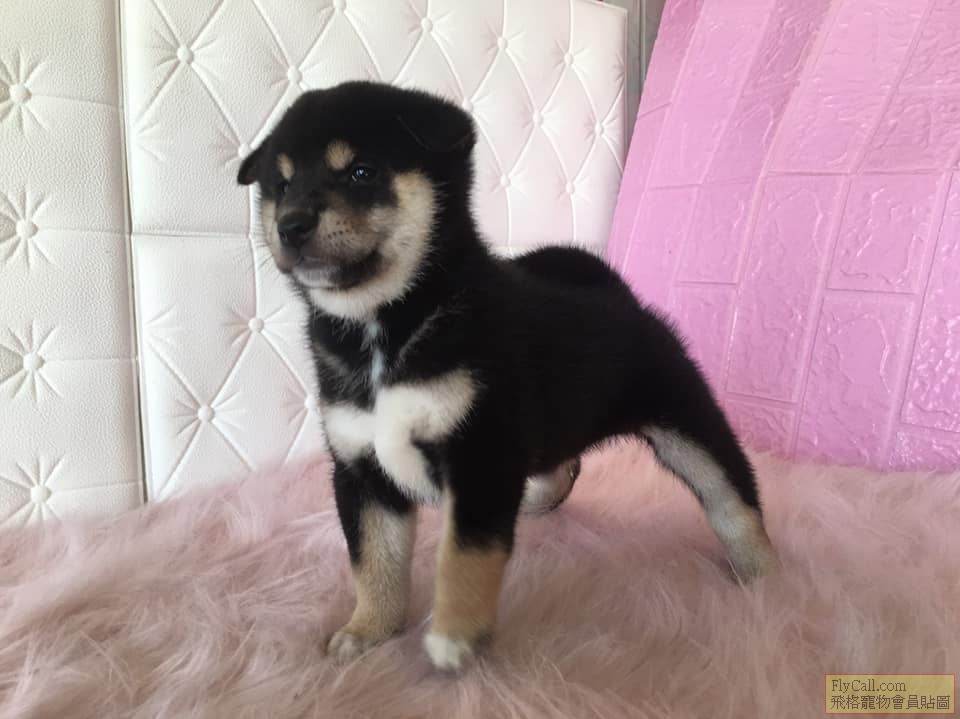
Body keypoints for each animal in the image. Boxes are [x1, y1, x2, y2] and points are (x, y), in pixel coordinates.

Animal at [236, 81, 777, 673]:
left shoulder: (482, 456)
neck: (386, 327)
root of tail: (621, 296)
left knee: (731, 497)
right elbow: (375, 563)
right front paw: (369, 630)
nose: (290, 223)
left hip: (687, 423)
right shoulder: (362, 471)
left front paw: (455, 635)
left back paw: (765, 573)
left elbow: (464, 557)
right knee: (564, 465)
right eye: (281, 185)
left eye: (361, 172)